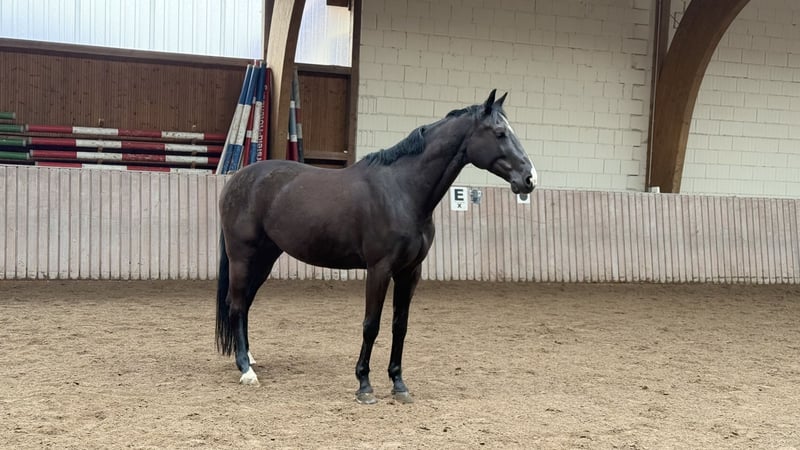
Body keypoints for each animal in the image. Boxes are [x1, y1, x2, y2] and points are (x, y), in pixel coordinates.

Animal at [216, 90, 538, 404]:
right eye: (499, 133)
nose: (529, 179)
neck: (402, 191)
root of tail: (238, 179)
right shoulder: (379, 269)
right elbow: (371, 325)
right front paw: (364, 385)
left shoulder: (410, 272)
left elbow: (400, 326)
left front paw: (399, 384)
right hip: (242, 257)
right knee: (238, 304)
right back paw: (246, 371)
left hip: (265, 258)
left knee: (243, 304)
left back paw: (248, 359)